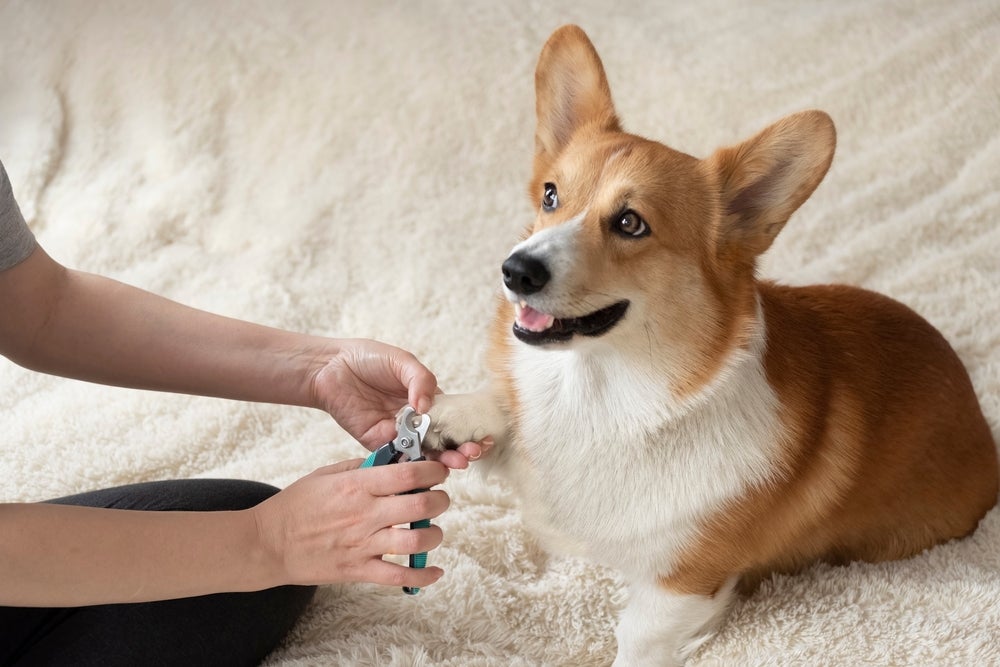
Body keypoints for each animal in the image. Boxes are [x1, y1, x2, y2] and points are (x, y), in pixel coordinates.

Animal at [424, 23, 1000, 664]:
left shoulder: (682, 586)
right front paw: (456, 414)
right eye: (550, 196)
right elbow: (503, 405)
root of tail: (974, 408)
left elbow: (639, 639)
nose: (515, 270)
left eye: (630, 223)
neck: (601, 394)